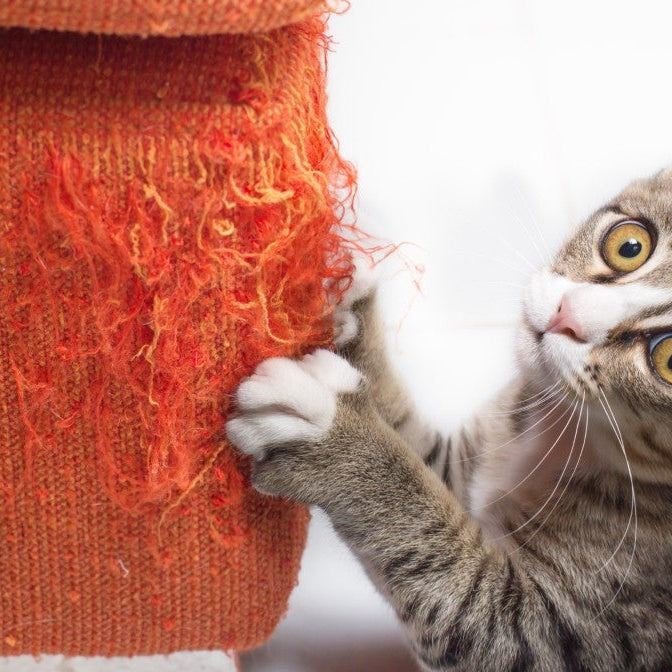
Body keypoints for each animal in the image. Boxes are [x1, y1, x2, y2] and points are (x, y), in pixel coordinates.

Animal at [228, 172, 672, 672]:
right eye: (629, 244)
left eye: (670, 358)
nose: (567, 316)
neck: (563, 427)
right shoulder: (464, 461)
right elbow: (426, 462)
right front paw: (345, 299)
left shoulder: (551, 634)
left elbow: (464, 598)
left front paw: (333, 434)